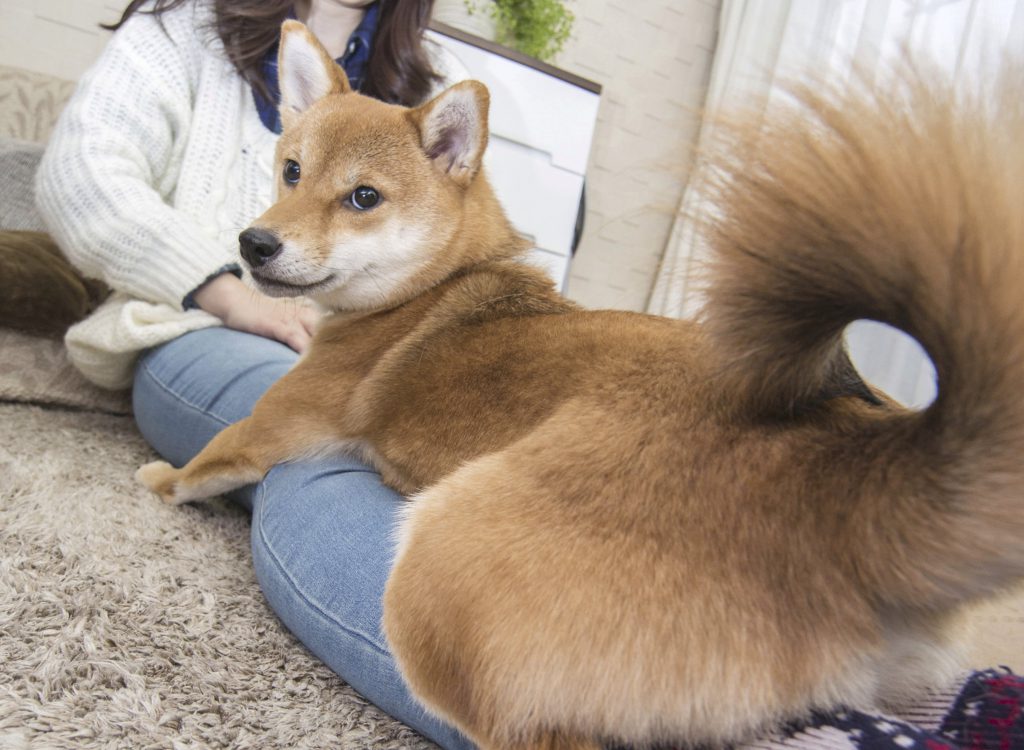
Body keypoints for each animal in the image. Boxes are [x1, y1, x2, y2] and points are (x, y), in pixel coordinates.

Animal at [140, 22, 1024, 750]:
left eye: (363, 197)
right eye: (290, 170)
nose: (254, 244)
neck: (439, 283)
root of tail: (854, 468)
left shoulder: (280, 421)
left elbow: (211, 460)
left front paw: (159, 480)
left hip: (439, 568)